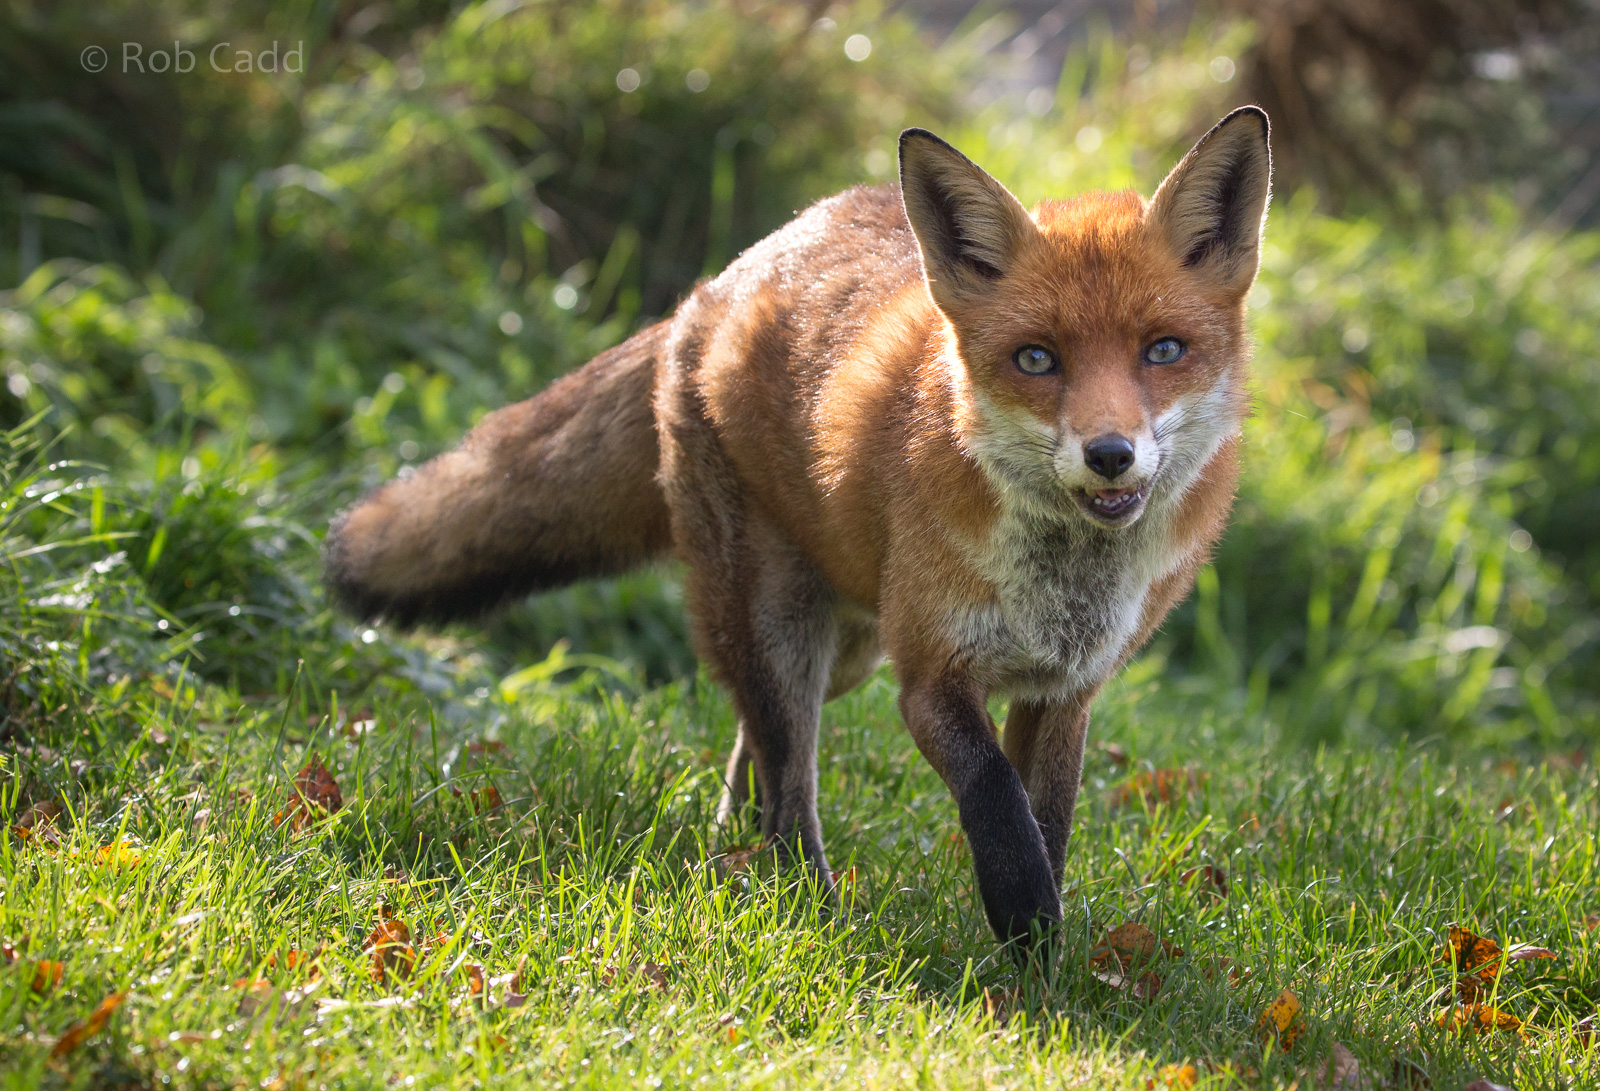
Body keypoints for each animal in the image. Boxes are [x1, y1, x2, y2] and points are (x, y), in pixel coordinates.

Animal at [325, 107, 1271, 948]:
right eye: (1036, 359)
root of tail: (720, 281)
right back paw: (799, 899)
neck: (1063, 580)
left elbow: (1050, 822)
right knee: (787, 777)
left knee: (759, 742)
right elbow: (997, 802)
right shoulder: (929, 677)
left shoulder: (1066, 690)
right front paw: (1028, 930)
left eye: (1163, 350)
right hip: (782, 619)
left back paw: (733, 849)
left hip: (844, 648)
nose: (1110, 454)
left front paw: (1044, 958)